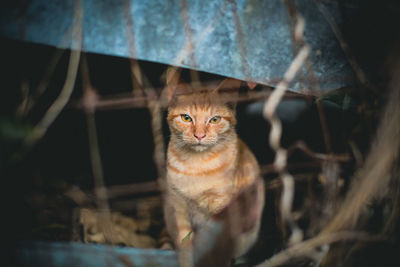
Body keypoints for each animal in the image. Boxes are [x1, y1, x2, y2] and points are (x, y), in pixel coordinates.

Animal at [163, 69, 266, 264]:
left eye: (214, 119)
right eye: (186, 118)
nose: (199, 135)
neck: (196, 165)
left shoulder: (222, 208)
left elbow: (214, 245)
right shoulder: (178, 204)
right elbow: (185, 242)